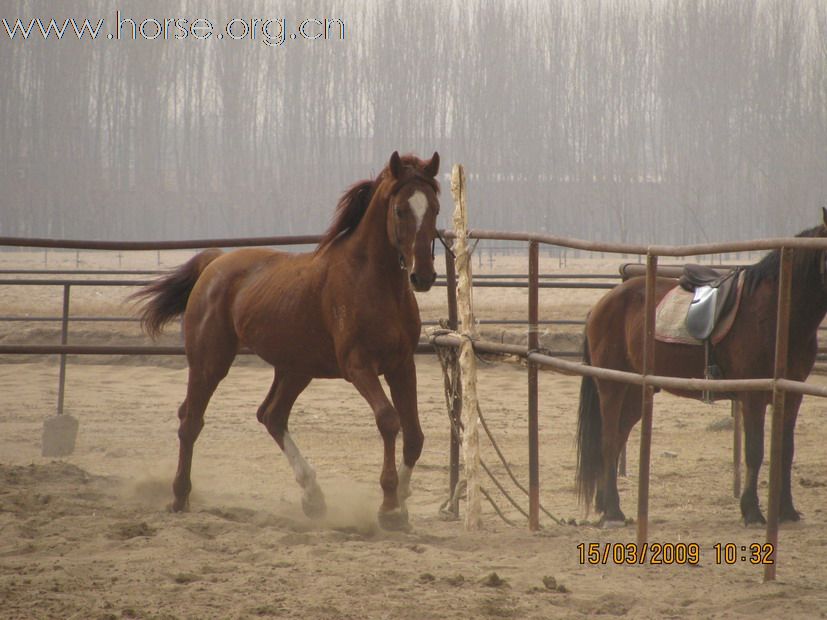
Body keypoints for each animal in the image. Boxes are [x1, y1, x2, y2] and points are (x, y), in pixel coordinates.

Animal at [131, 151, 440, 528]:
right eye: (400, 210)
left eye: (435, 208)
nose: (423, 276)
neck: (372, 282)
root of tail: (215, 262)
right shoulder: (359, 367)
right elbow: (389, 420)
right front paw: (389, 507)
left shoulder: (401, 365)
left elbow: (414, 435)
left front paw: (403, 506)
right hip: (210, 362)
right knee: (191, 420)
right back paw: (179, 497)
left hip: (295, 369)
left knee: (271, 415)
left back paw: (313, 498)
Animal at [576, 211, 827, 524]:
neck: (776, 311)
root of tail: (603, 303)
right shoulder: (753, 396)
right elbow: (755, 451)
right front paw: (752, 511)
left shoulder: (792, 394)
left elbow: (786, 449)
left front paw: (786, 510)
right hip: (612, 386)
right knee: (609, 440)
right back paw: (613, 511)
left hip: (635, 392)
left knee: (618, 437)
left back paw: (605, 502)